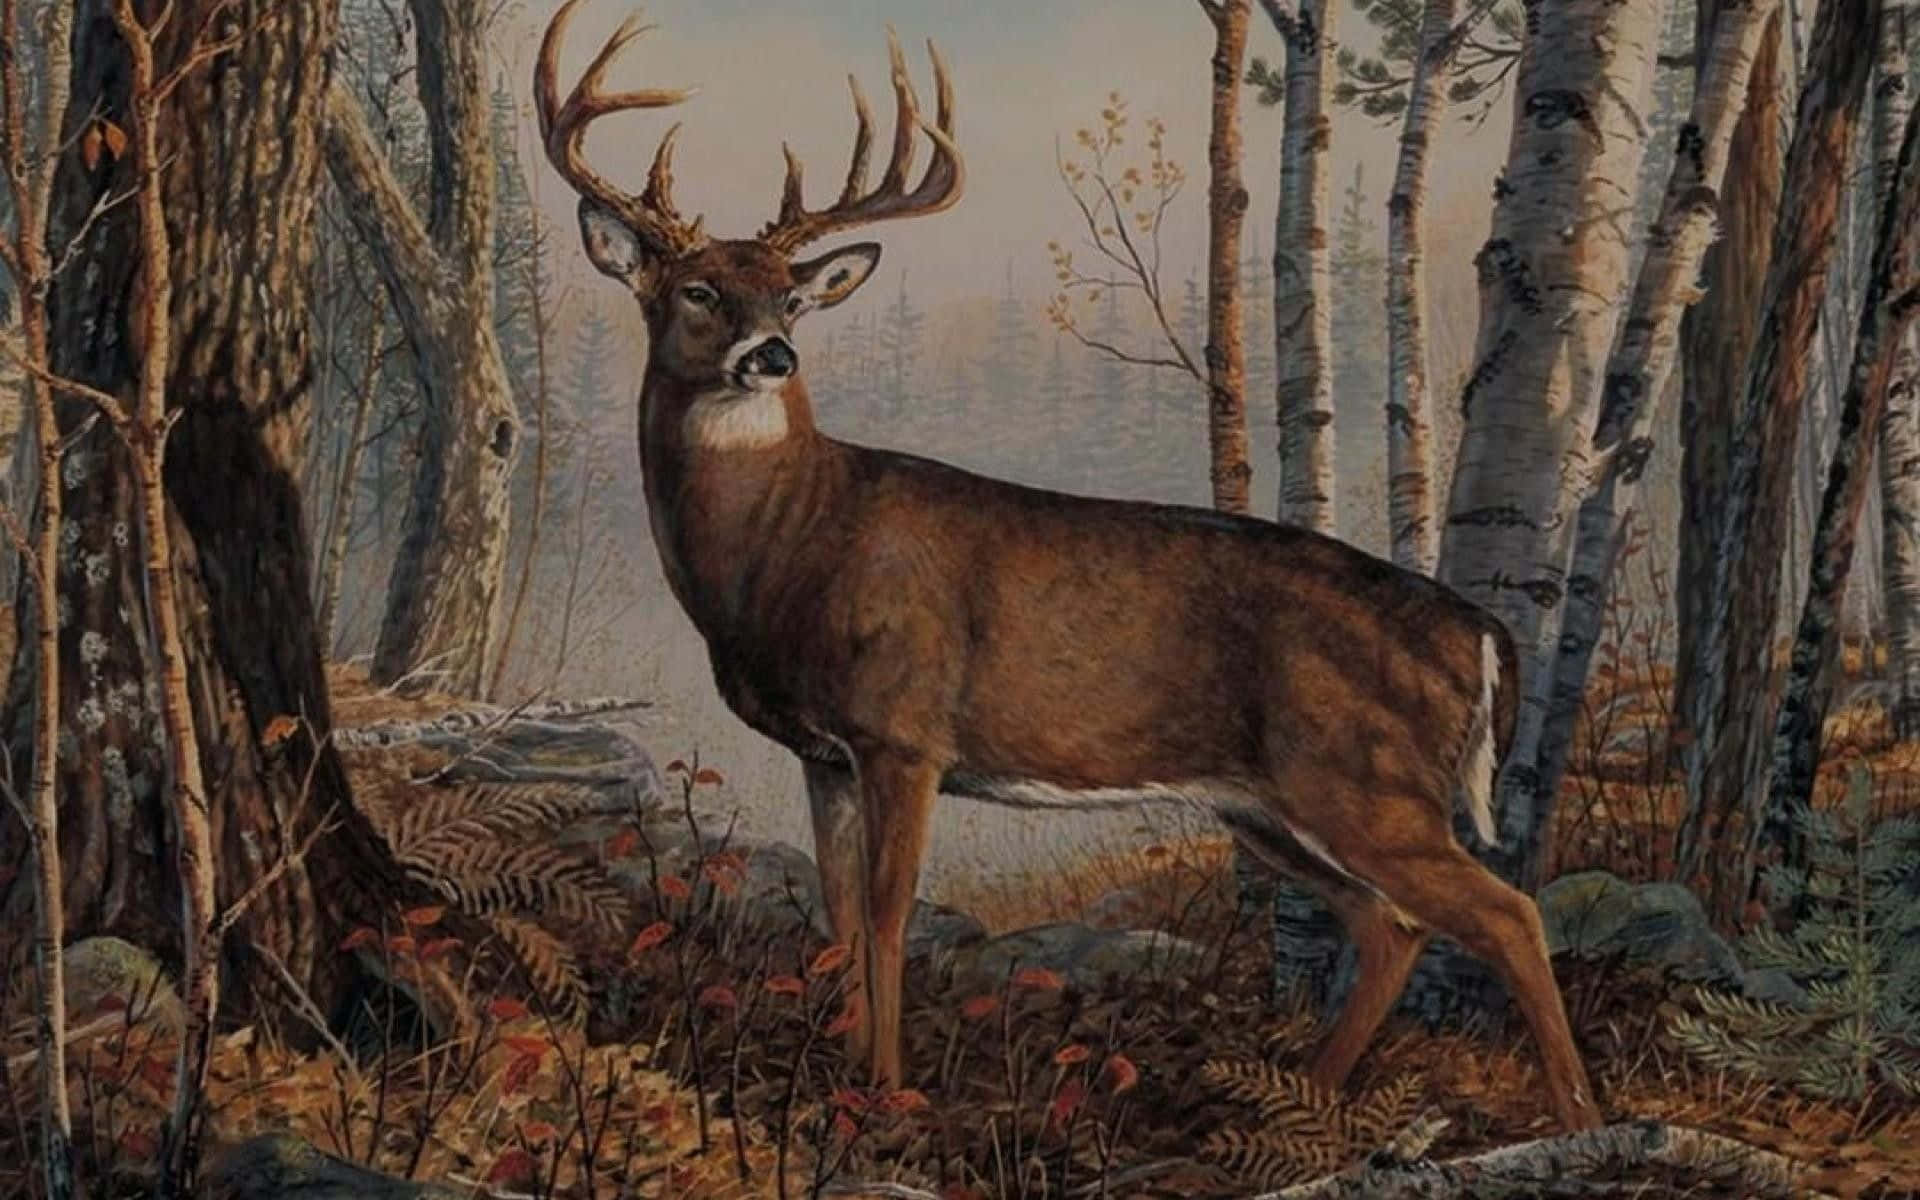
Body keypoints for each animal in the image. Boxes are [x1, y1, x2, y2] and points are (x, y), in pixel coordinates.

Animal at [534, 0, 1601, 1133]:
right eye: (697, 289)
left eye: (792, 297)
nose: (772, 355)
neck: (787, 549)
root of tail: (1480, 631)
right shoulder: (824, 751)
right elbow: (839, 908)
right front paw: (841, 1076)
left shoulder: (904, 729)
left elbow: (888, 910)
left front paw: (889, 1090)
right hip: (1270, 804)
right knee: (1390, 923)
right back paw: (1302, 1097)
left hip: (1364, 781)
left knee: (1506, 909)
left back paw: (1581, 1118)